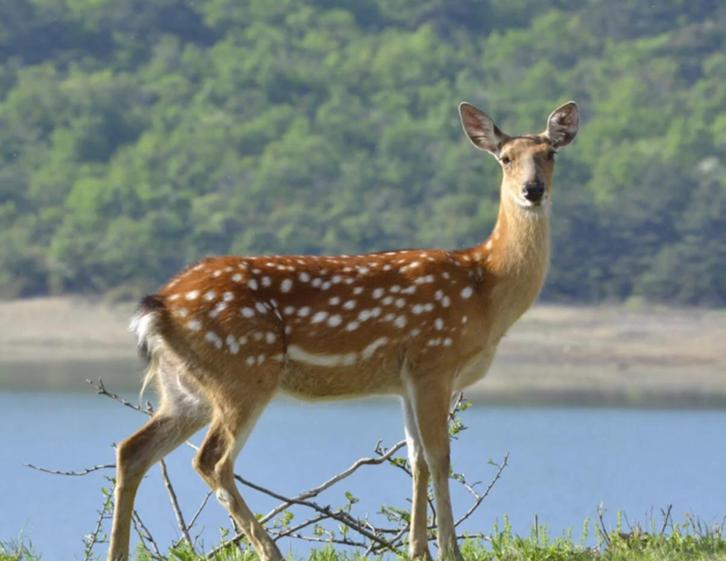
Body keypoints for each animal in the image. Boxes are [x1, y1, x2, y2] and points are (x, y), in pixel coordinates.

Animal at [108, 100, 579, 561]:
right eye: (505, 158)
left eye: (550, 154)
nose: (533, 190)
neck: (486, 289)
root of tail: (159, 306)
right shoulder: (434, 359)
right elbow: (440, 457)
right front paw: (450, 551)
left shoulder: (406, 379)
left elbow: (417, 459)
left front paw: (417, 550)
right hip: (242, 369)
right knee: (211, 461)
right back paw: (272, 551)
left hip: (184, 386)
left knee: (132, 450)